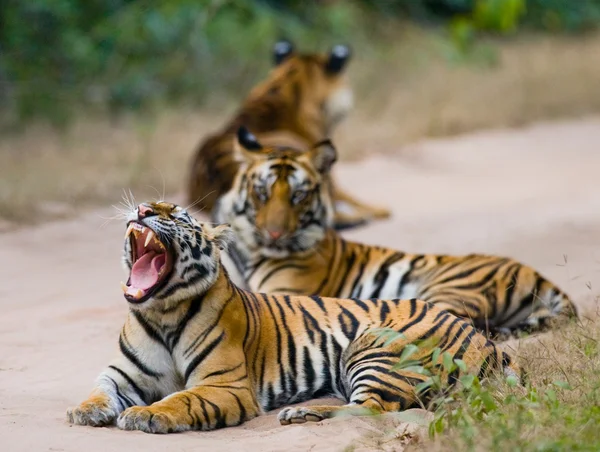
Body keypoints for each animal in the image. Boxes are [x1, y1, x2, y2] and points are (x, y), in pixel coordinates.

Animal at [67, 202, 520, 434]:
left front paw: (146, 415)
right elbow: (99, 390)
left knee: (376, 408)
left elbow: (181, 397)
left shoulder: (225, 386)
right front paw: (85, 412)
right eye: (149, 203)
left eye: (176, 215)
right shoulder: (122, 374)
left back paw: (300, 414)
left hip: (373, 348)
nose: (142, 209)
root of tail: (482, 339)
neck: (162, 311)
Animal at [213, 127, 580, 340]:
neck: (250, 249)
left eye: (298, 195)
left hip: (448, 289)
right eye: (262, 192)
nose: (274, 234)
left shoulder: (284, 294)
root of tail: (536, 273)